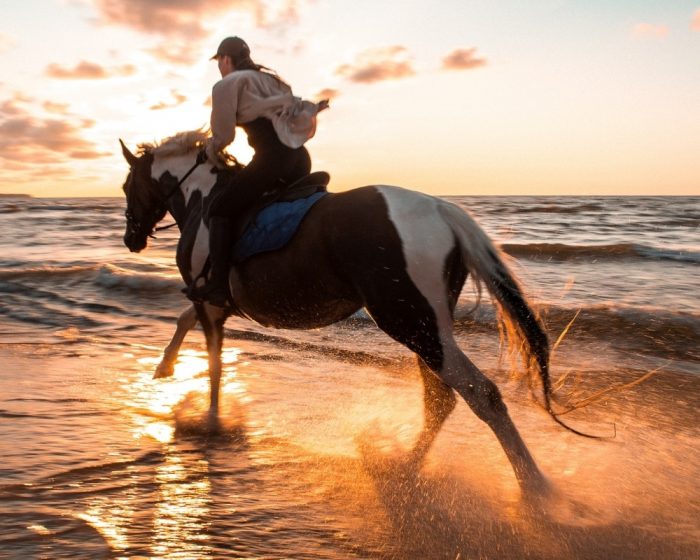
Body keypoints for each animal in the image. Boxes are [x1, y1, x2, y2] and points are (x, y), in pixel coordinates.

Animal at [120, 130, 576, 498]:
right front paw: (164, 367)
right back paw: (406, 464)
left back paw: (534, 488)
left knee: (479, 393)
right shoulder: (214, 302)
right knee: (441, 398)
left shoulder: (210, 301)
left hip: (410, 322)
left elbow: (214, 365)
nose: (131, 239)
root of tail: (441, 212)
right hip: (425, 324)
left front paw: (211, 422)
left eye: (127, 185)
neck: (203, 199)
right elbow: (185, 322)